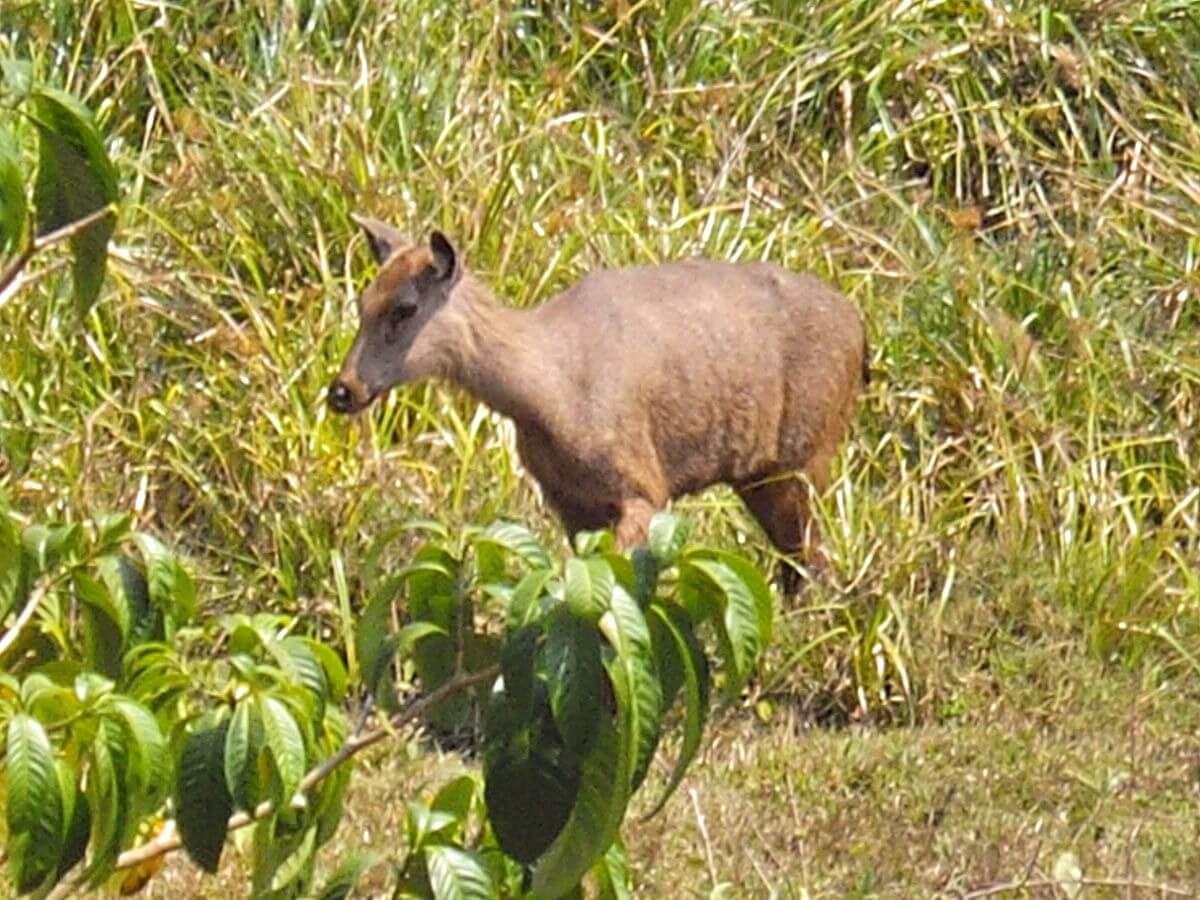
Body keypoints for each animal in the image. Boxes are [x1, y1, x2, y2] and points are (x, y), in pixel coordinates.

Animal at [331, 219, 864, 595]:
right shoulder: (569, 501)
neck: (547, 392)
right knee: (799, 561)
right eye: (361, 302)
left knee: (816, 558)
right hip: (760, 474)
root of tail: (862, 331)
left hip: (807, 451)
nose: (342, 390)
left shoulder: (644, 484)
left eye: (404, 308)